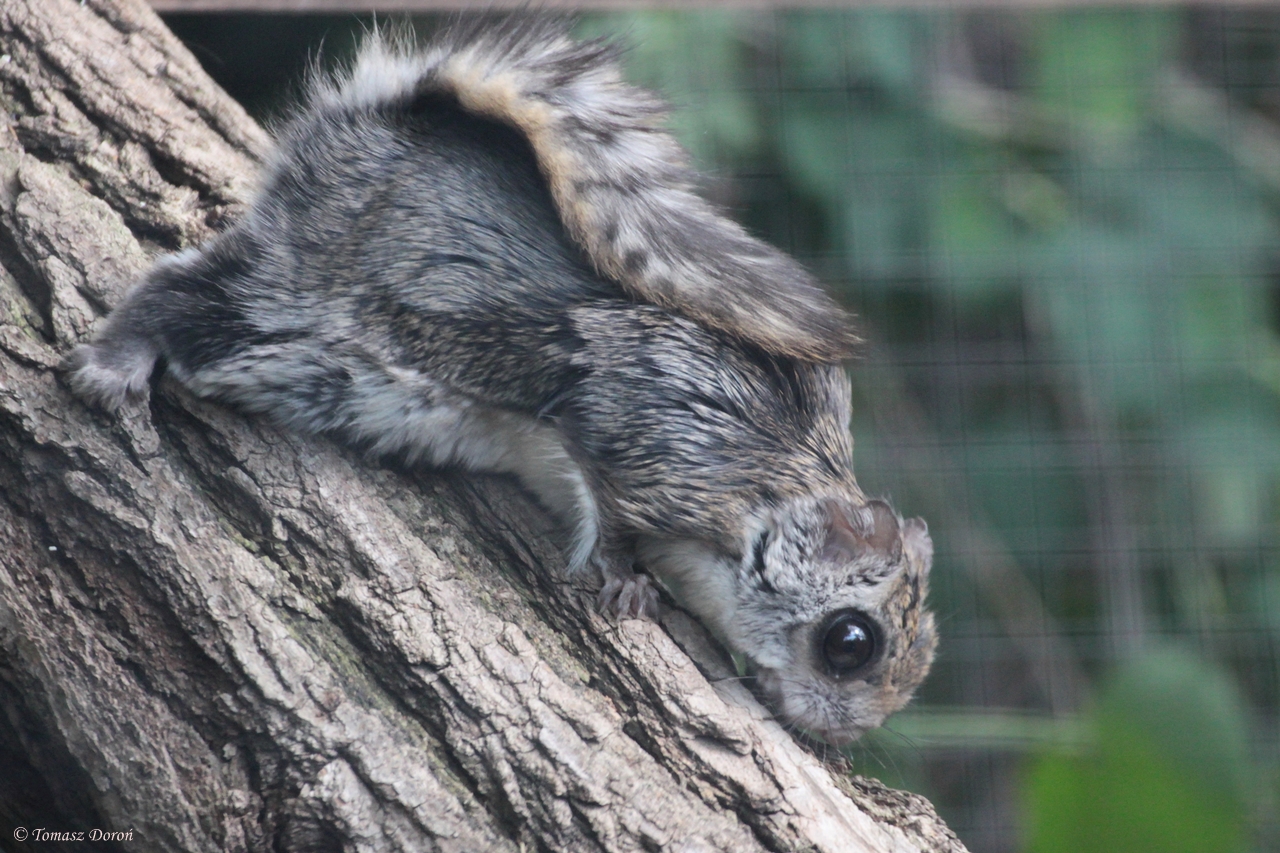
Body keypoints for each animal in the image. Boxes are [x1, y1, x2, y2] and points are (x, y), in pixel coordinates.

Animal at [66, 17, 937, 745]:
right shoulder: (650, 423)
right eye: (851, 643)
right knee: (178, 291)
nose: (841, 736)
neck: (772, 479)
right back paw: (115, 360)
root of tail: (372, 123)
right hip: (299, 307)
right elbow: (604, 503)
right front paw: (625, 581)